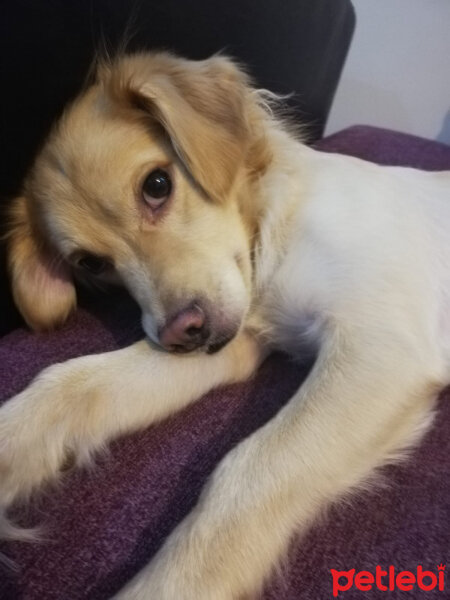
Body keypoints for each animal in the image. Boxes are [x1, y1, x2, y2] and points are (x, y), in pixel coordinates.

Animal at [0, 52, 450, 600]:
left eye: (157, 185)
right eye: (91, 263)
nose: (181, 333)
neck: (277, 225)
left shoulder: (382, 346)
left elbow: (252, 464)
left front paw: (174, 584)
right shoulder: (239, 339)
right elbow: (69, 381)